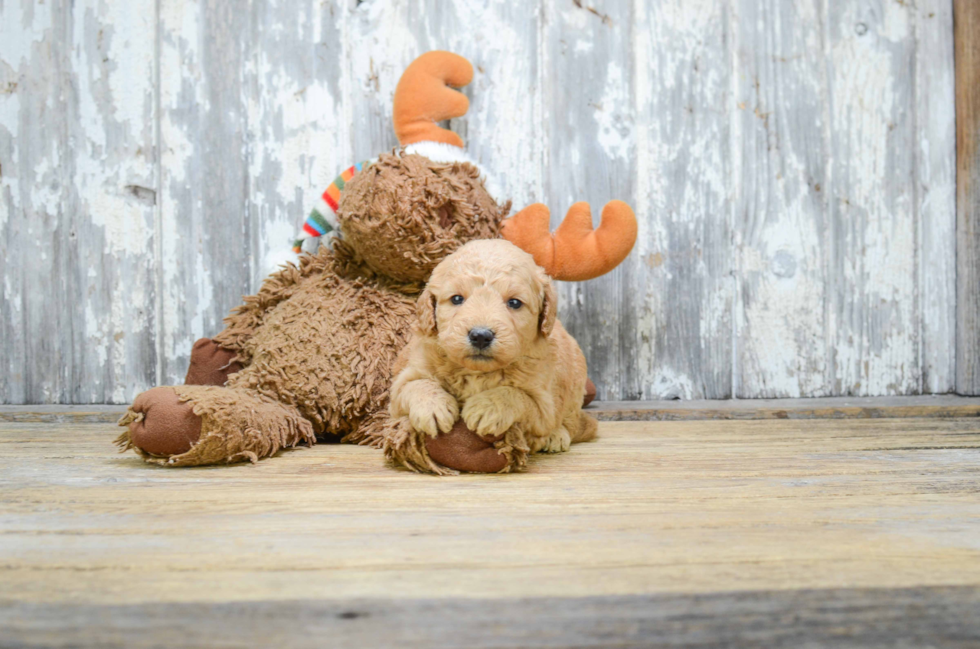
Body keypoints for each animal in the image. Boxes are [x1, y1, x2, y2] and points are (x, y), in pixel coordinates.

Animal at [390, 239, 596, 470]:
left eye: (514, 303)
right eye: (457, 299)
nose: (480, 336)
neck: (476, 372)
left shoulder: (542, 404)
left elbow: (517, 395)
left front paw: (487, 407)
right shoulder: (403, 382)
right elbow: (416, 384)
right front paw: (433, 408)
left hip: (575, 383)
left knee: (570, 421)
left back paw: (556, 436)